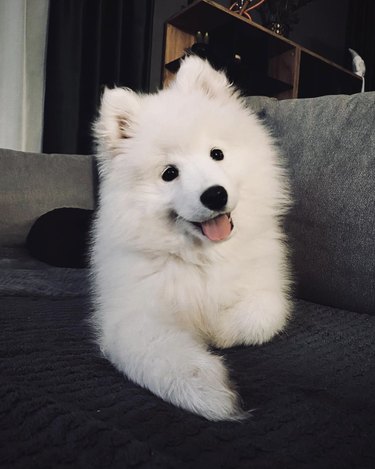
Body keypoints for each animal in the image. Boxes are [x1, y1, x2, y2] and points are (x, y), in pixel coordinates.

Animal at [92, 55, 294, 420]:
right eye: (169, 173)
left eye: (217, 154)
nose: (214, 195)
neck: (203, 258)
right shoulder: (130, 318)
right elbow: (162, 355)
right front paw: (207, 388)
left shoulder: (268, 291)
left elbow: (261, 315)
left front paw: (216, 332)